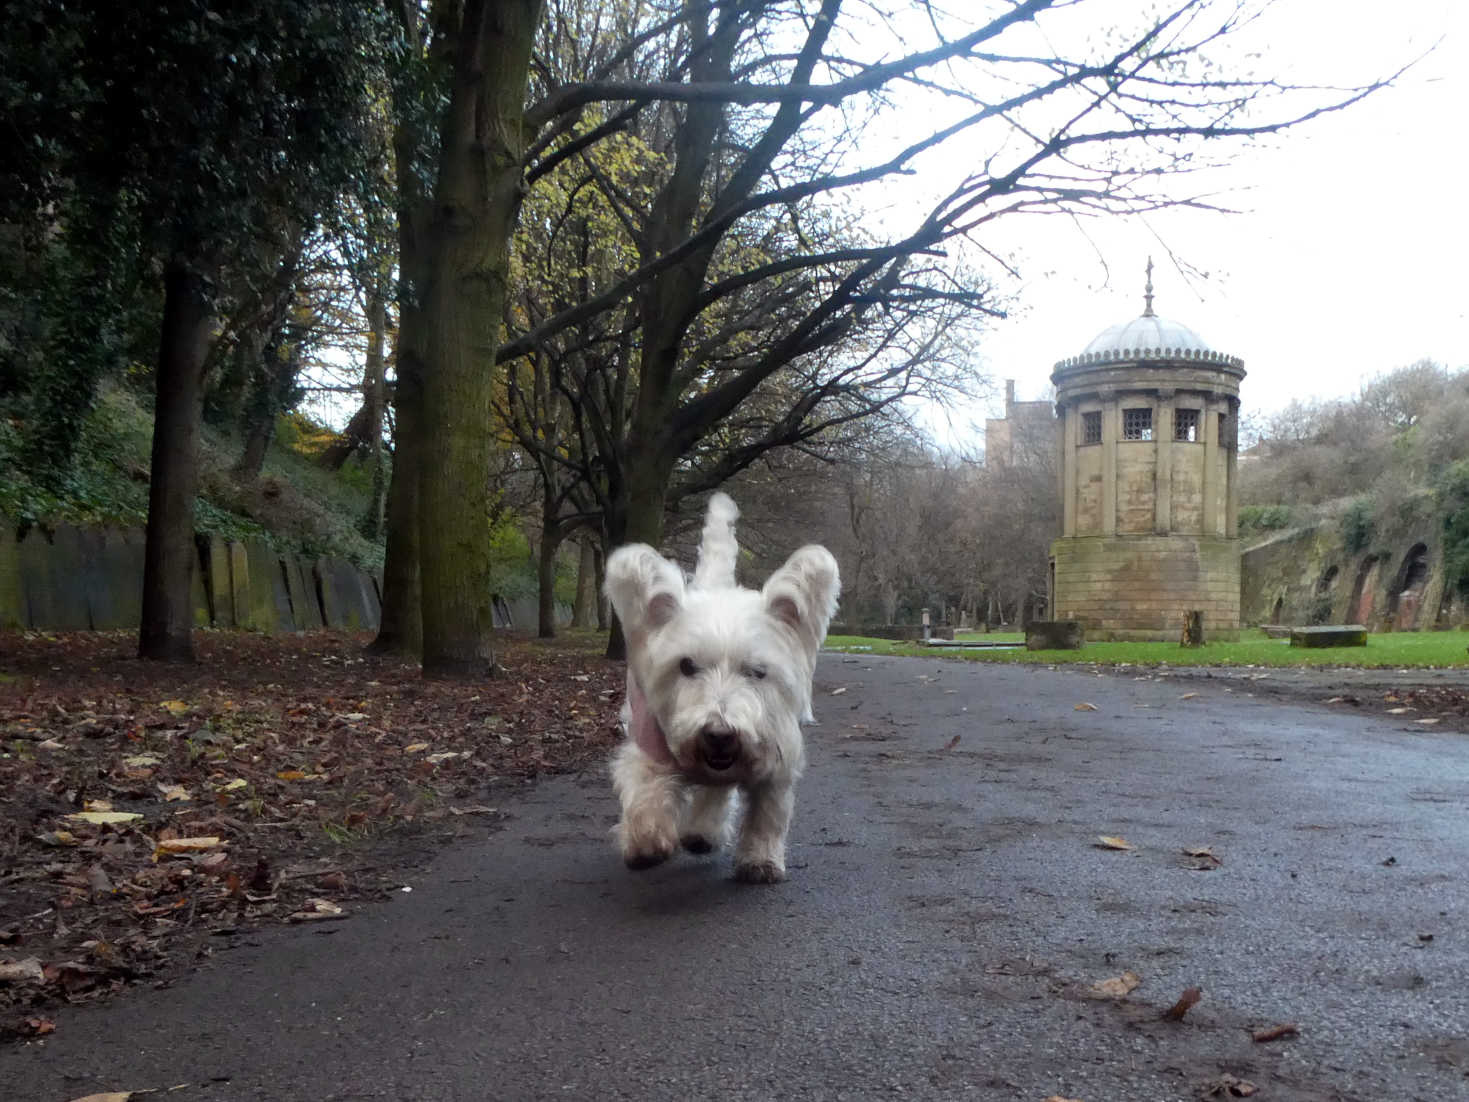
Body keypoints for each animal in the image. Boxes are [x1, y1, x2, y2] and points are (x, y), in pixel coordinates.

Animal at [605, 496, 840, 887]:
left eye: (757, 671)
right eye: (686, 666)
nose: (719, 733)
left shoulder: (778, 761)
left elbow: (767, 813)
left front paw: (760, 860)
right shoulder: (648, 742)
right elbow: (647, 784)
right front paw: (646, 840)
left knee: (716, 792)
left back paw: (702, 832)